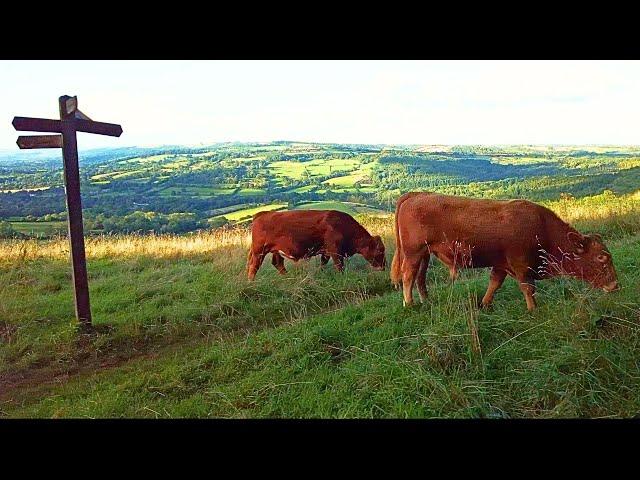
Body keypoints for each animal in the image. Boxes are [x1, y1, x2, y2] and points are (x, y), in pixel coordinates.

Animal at [245, 208, 384, 280]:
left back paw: (288, 277)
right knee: (254, 266)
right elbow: (339, 265)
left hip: (275, 250)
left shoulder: (326, 251)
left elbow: (323, 263)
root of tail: (262, 214)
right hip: (259, 251)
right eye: (380, 251)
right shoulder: (335, 251)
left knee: (278, 263)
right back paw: (251, 282)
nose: (383, 267)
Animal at [390, 191, 620, 312]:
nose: (615, 285)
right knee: (408, 275)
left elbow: (495, 283)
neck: (542, 227)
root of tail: (416, 194)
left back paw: (425, 300)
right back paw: (409, 303)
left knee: (420, 277)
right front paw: (533, 309)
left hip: (425, 254)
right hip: (413, 253)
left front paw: (484, 304)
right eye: (601, 257)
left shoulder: (501, 264)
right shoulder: (521, 265)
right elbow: (528, 288)